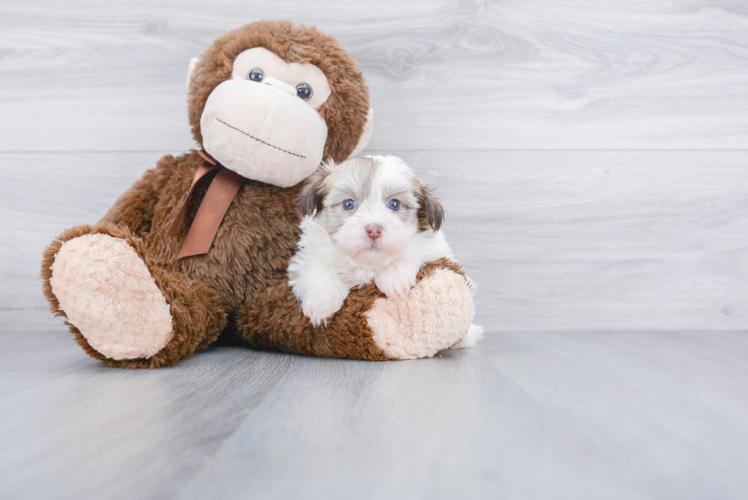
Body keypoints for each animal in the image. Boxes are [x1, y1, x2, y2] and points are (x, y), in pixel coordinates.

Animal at [290, 155, 482, 348]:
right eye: (348, 204)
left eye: (394, 204)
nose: (374, 229)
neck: (368, 262)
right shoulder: (307, 256)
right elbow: (317, 268)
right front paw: (322, 301)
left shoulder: (436, 248)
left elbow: (414, 250)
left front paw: (394, 277)